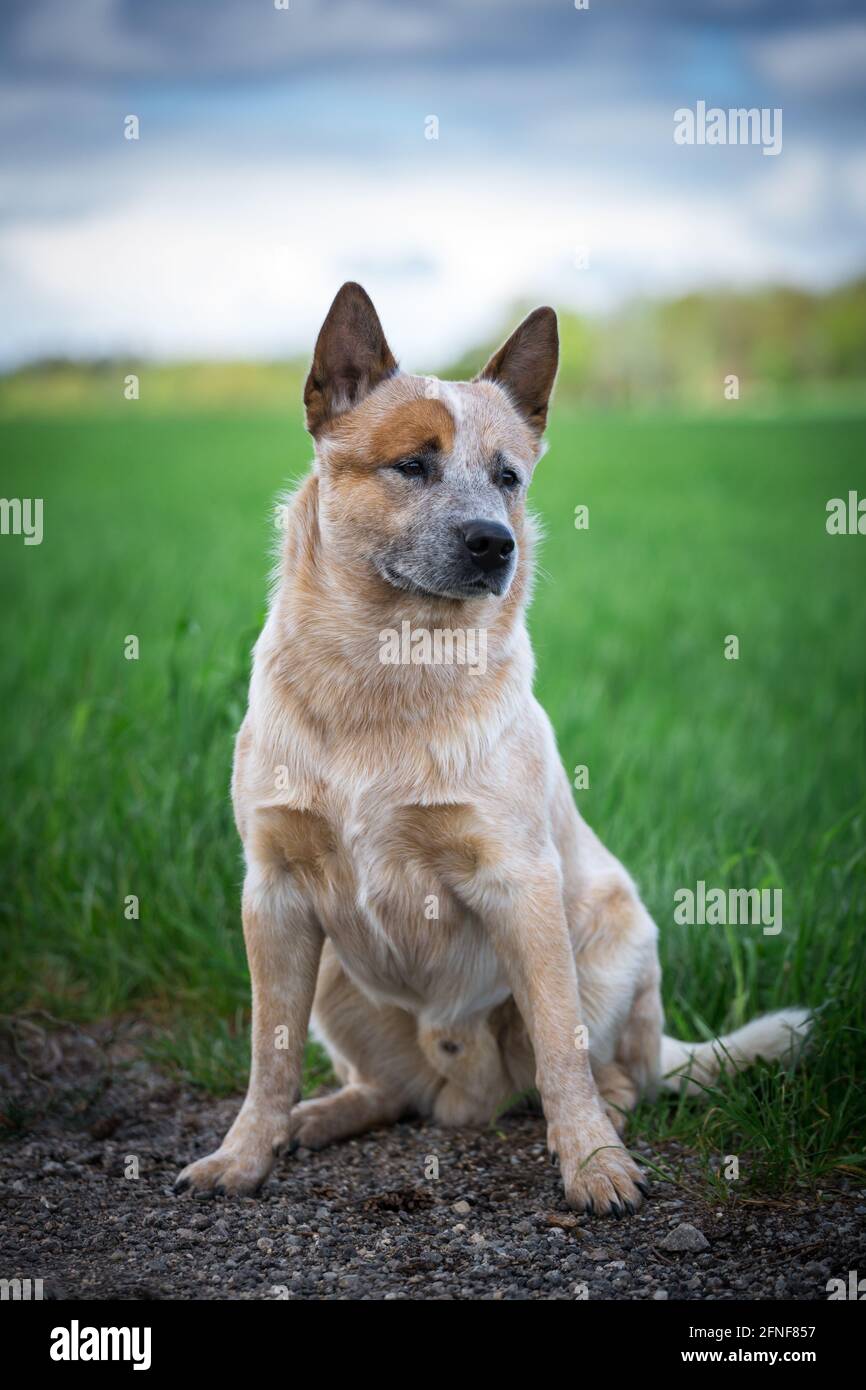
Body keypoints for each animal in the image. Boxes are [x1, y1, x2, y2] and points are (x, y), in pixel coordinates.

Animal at [173, 282, 811, 1217]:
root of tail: (465, 1096)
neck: (385, 675)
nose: (493, 542)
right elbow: (268, 1054)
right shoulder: (276, 892)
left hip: (614, 933)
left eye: (508, 476)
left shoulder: (518, 879)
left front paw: (594, 1166)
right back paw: (319, 1118)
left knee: (610, 1070)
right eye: (413, 465)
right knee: (390, 1092)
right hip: (334, 980)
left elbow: (557, 1042)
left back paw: (604, 1114)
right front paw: (245, 1154)